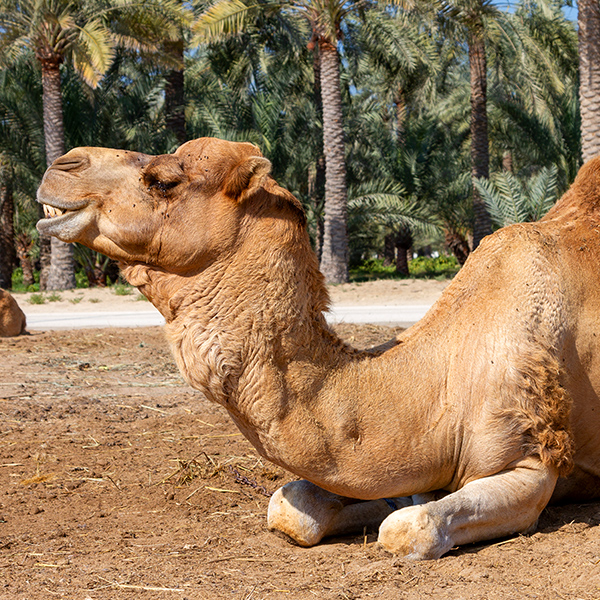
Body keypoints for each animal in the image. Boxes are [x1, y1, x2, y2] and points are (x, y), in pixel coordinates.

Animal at [34, 138, 600, 560]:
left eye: (164, 180)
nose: (62, 164)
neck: (439, 378)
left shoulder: (531, 465)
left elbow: (406, 528)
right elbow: (289, 507)